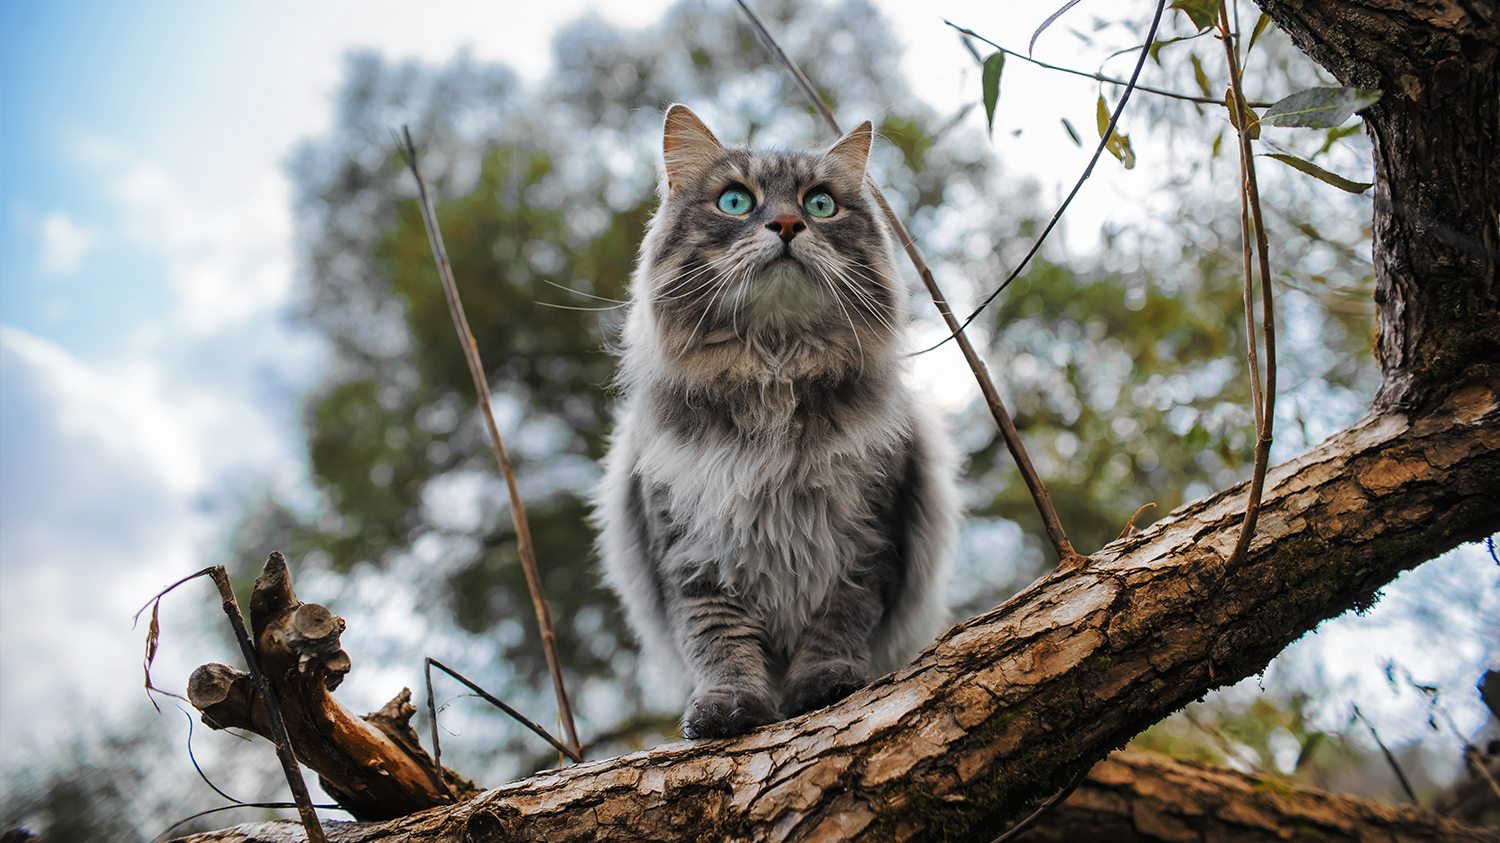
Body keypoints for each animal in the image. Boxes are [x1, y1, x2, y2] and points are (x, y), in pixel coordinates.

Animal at [591, 103, 954, 735]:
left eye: (820, 204)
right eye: (735, 201)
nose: (786, 224)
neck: (774, 372)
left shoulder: (863, 542)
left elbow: (837, 624)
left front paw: (824, 686)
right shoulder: (691, 555)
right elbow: (719, 642)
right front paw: (728, 708)